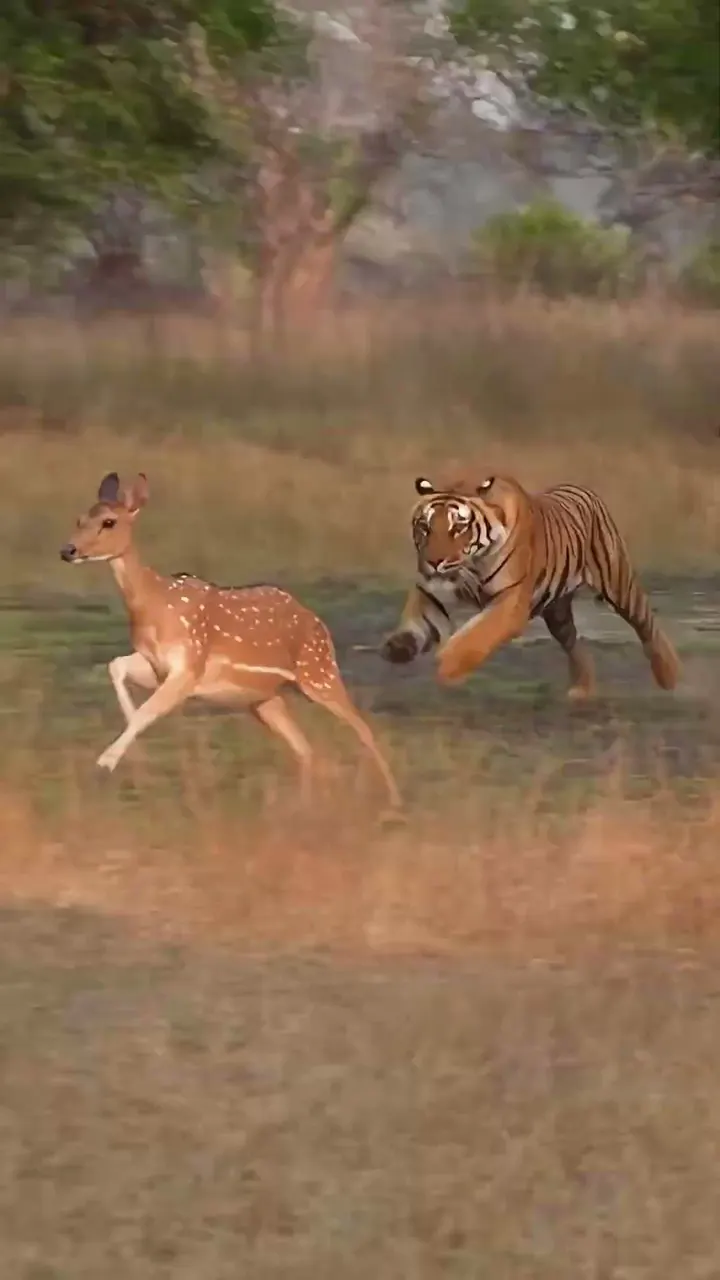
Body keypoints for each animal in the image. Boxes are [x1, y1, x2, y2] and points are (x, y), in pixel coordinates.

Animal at [379, 473, 680, 697]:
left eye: (458, 528)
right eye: (424, 527)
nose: (434, 562)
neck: (471, 565)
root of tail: (584, 489)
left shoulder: (510, 602)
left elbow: (475, 637)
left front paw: (448, 666)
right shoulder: (433, 593)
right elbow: (419, 619)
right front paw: (400, 646)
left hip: (619, 584)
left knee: (647, 624)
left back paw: (669, 676)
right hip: (558, 612)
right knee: (575, 645)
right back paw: (581, 689)